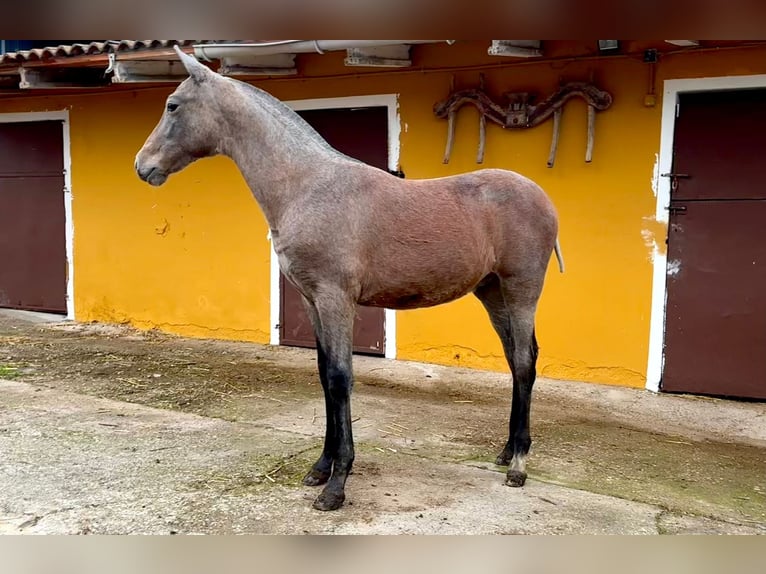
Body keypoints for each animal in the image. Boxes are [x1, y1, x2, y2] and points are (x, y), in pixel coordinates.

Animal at [135, 46, 564, 512]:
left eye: (173, 105)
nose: (142, 166)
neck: (308, 186)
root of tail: (542, 197)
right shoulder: (311, 300)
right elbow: (325, 376)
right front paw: (321, 467)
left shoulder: (335, 298)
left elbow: (341, 378)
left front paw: (337, 485)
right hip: (492, 293)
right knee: (517, 360)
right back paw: (506, 451)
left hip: (521, 291)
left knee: (523, 362)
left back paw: (518, 465)